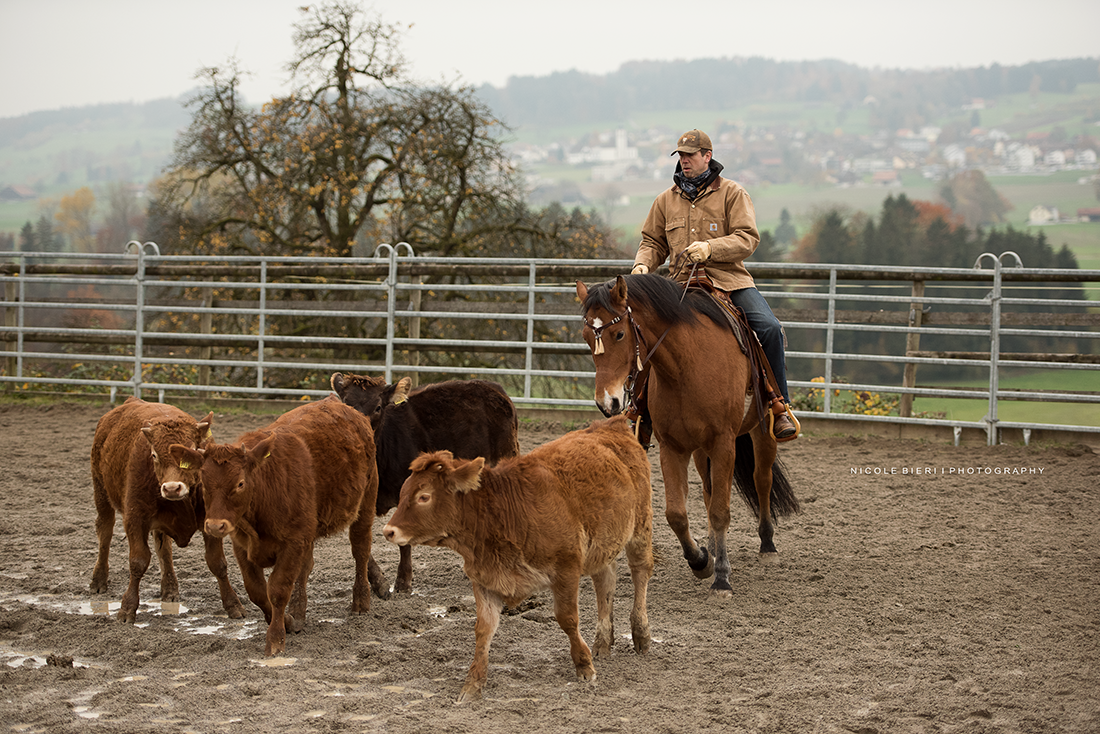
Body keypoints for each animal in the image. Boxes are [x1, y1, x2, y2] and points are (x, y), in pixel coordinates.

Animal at [576, 273, 799, 597]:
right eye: (585, 336)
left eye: (618, 334)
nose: (608, 403)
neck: (687, 365)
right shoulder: (673, 447)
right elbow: (677, 514)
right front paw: (701, 560)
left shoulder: (723, 443)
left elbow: (721, 510)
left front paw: (722, 578)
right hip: (700, 450)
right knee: (708, 490)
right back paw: (715, 548)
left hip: (762, 430)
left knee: (762, 479)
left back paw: (767, 544)